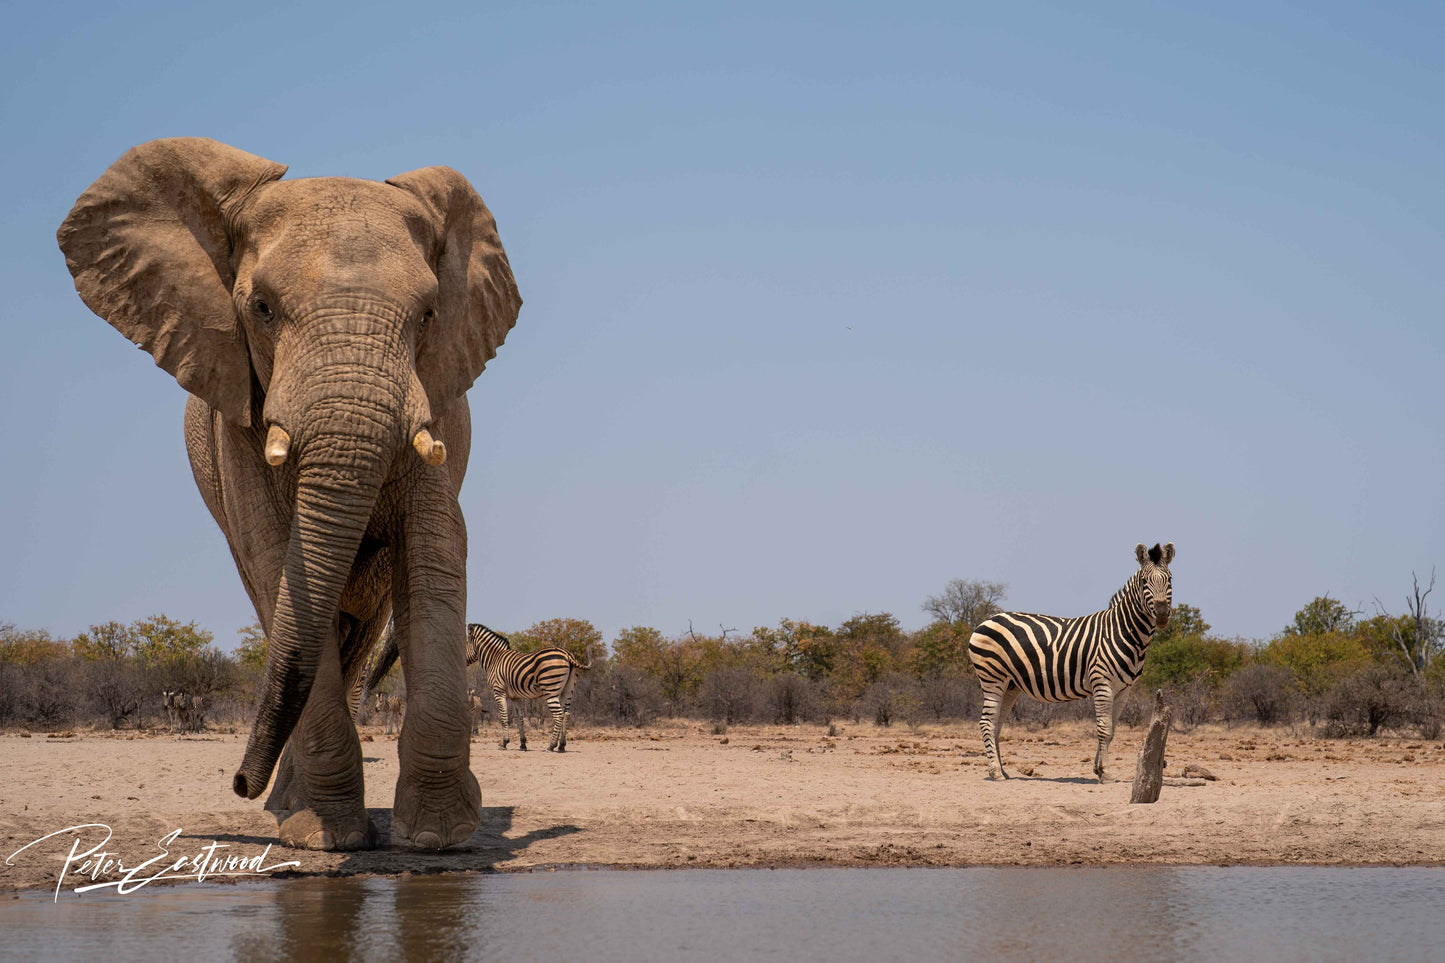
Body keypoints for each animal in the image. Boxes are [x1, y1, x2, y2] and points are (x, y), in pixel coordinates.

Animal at [63, 136, 525, 850]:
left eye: (428, 315)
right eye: (261, 308)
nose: (237, 783)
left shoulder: (433, 406)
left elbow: (436, 554)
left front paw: (438, 837)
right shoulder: (237, 420)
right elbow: (276, 557)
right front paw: (323, 835)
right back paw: (290, 809)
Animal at [468, 621, 592, 751]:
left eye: (465, 642)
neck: (495, 659)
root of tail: (568, 655)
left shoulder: (499, 691)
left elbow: (503, 716)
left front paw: (504, 743)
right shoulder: (515, 697)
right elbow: (519, 718)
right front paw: (523, 744)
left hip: (551, 690)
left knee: (559, 715)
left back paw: (551, 745)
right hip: (567, 690)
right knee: (566, 714)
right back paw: (561, 746)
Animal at [971, 540, 1173, 780]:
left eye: (1170, 579)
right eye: (1144, 582)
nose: (1161, 614)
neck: (1122, 631)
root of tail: (987, 620)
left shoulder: (1124, 690)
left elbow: (1112, 730)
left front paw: (1098, 768)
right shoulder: (1102, 683)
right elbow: (1104, 728)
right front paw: (1105, 772)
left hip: (1009, 685)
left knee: (996, 725)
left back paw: (1002, 770)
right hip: (993, 678)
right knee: (986, 722)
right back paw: (995, 772)